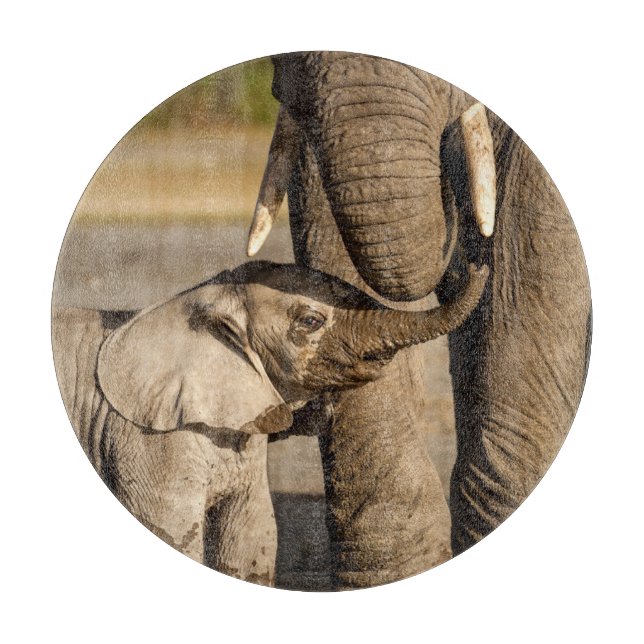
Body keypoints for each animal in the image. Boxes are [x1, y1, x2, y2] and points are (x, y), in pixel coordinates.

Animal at [52, 259, 487, 585]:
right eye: (310, 321)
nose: (473, 264)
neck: (198, 298)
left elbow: (251, 536)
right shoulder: (148, 439)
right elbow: (172, 530)